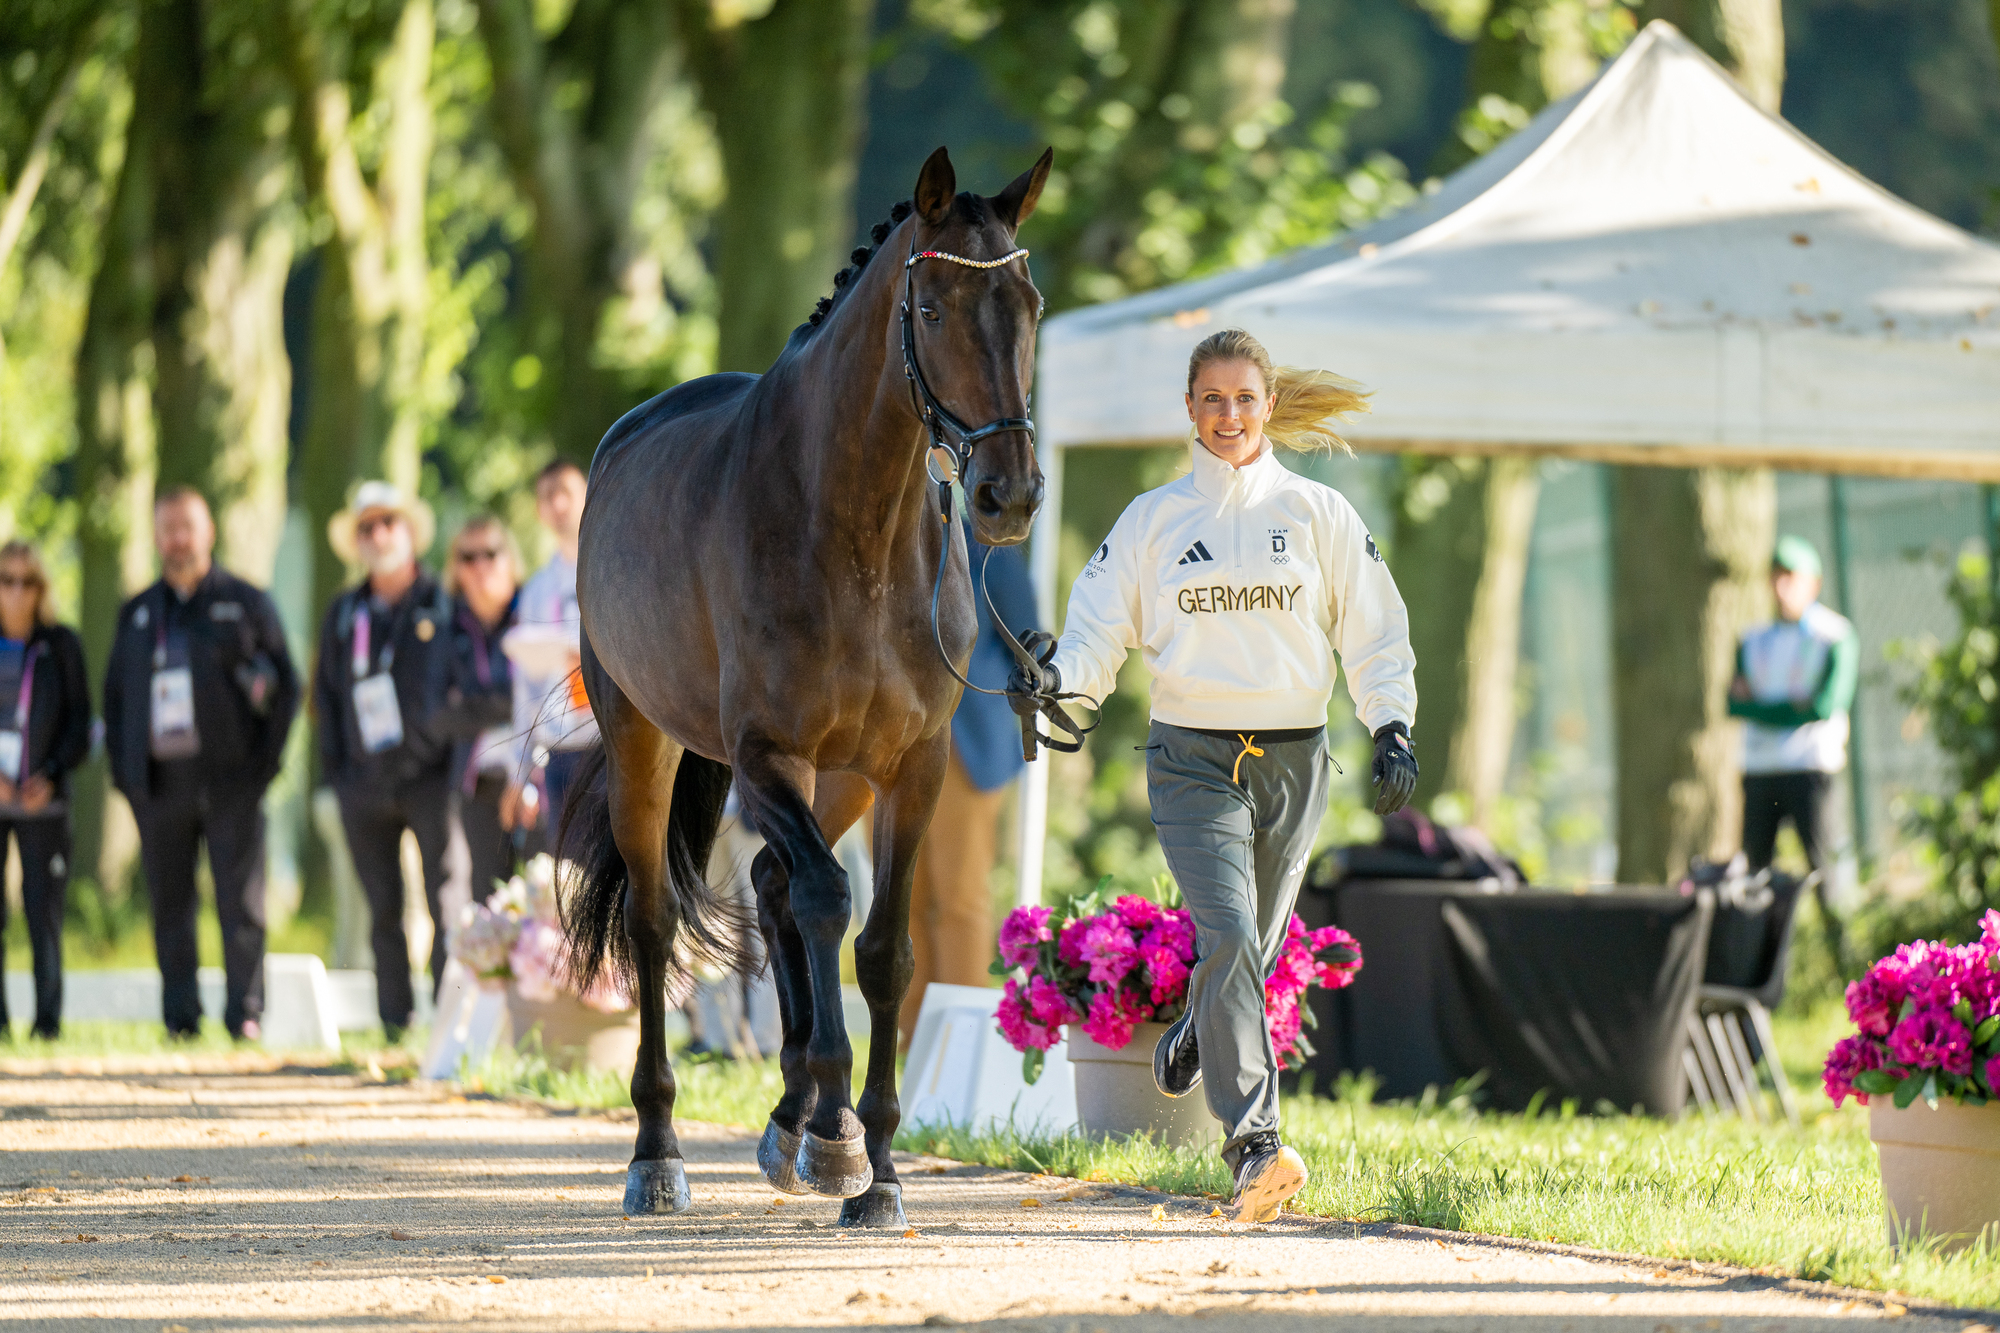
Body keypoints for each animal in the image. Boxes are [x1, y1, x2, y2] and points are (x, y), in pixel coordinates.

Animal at [548, 145, 1048, 1224]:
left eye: (1029, 303)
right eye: (932, 307)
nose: (1010, 494)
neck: (853, 529)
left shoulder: (912, 765)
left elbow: (885, 947)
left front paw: (878, 1163)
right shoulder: (764, 754)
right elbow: (825, 897)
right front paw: (836, 1137)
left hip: (842, 775)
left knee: (775, 887)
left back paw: (787, 1115)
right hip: (646, 743)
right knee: (660, 920)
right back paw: (661, 1152)